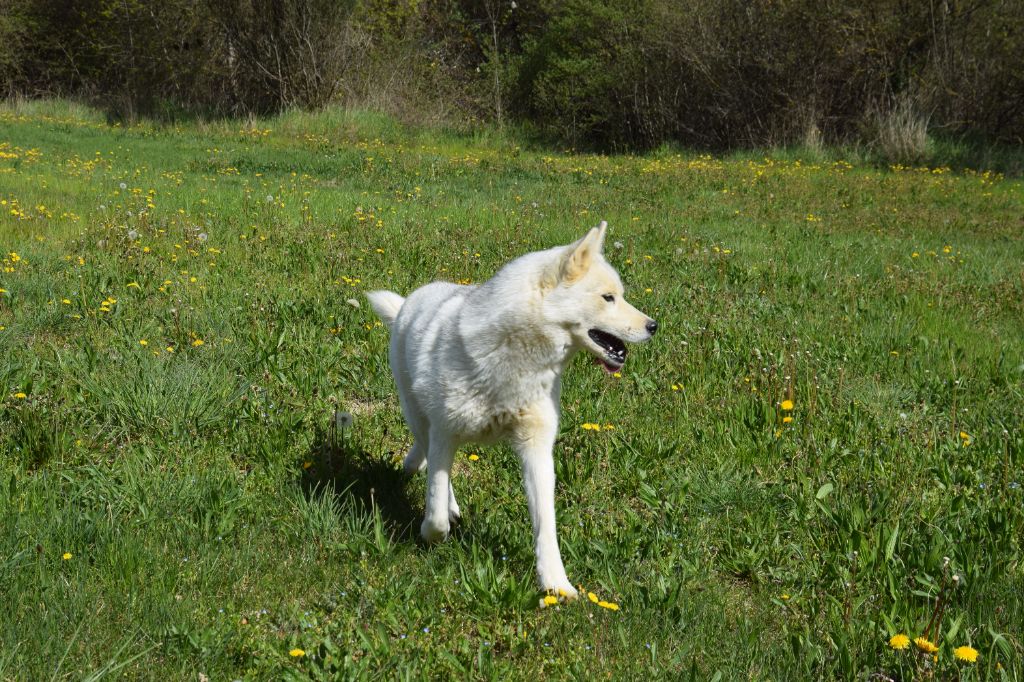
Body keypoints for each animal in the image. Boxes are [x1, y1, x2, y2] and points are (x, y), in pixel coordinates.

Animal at [366, 221, 657, 598]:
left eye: (619, 295)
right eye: (609, 298)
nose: (654, 326)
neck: (515, 361)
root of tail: (411, 299)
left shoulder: (537, 449)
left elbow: (546, 525)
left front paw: (557, 584)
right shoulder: (445, 434)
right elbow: (436, 508)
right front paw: (432, 534)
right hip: (416, 411)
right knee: (427, 451)